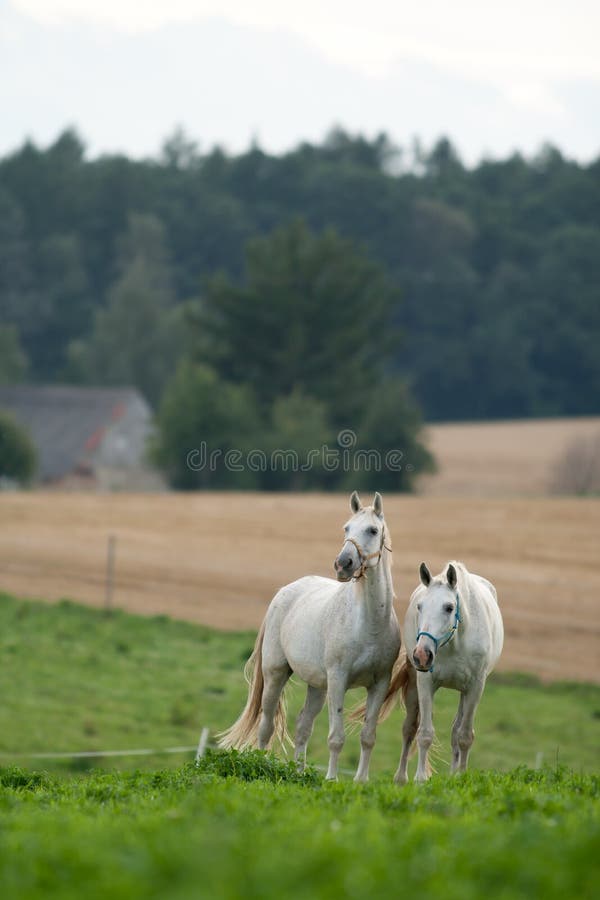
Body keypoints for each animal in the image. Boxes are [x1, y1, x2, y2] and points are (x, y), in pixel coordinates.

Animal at [218, 492, 400, 780]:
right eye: (346, 528)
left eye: (372, 530)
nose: (343, 564)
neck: (368, 624)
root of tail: (284, 591)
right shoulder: (338, 680)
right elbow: (336, 737)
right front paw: (332, 779)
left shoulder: (380, 683)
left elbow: (368, 736)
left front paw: (361, 781)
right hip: (276, 674)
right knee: (266, 725)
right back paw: (263, 765)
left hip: (317, 686)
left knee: (303, 725)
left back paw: (299, 773)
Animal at [384, 560, 502, 784]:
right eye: (420, 606)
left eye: (449, 607)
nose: (422, 655)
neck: (455, 642)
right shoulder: (425, 682)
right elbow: (424, 733)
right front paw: (420, 779)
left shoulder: (475, 687)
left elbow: (464, 736)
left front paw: (461, 777)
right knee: (409, 728)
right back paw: (401, 779)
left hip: (463, 693)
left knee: (456, 732)